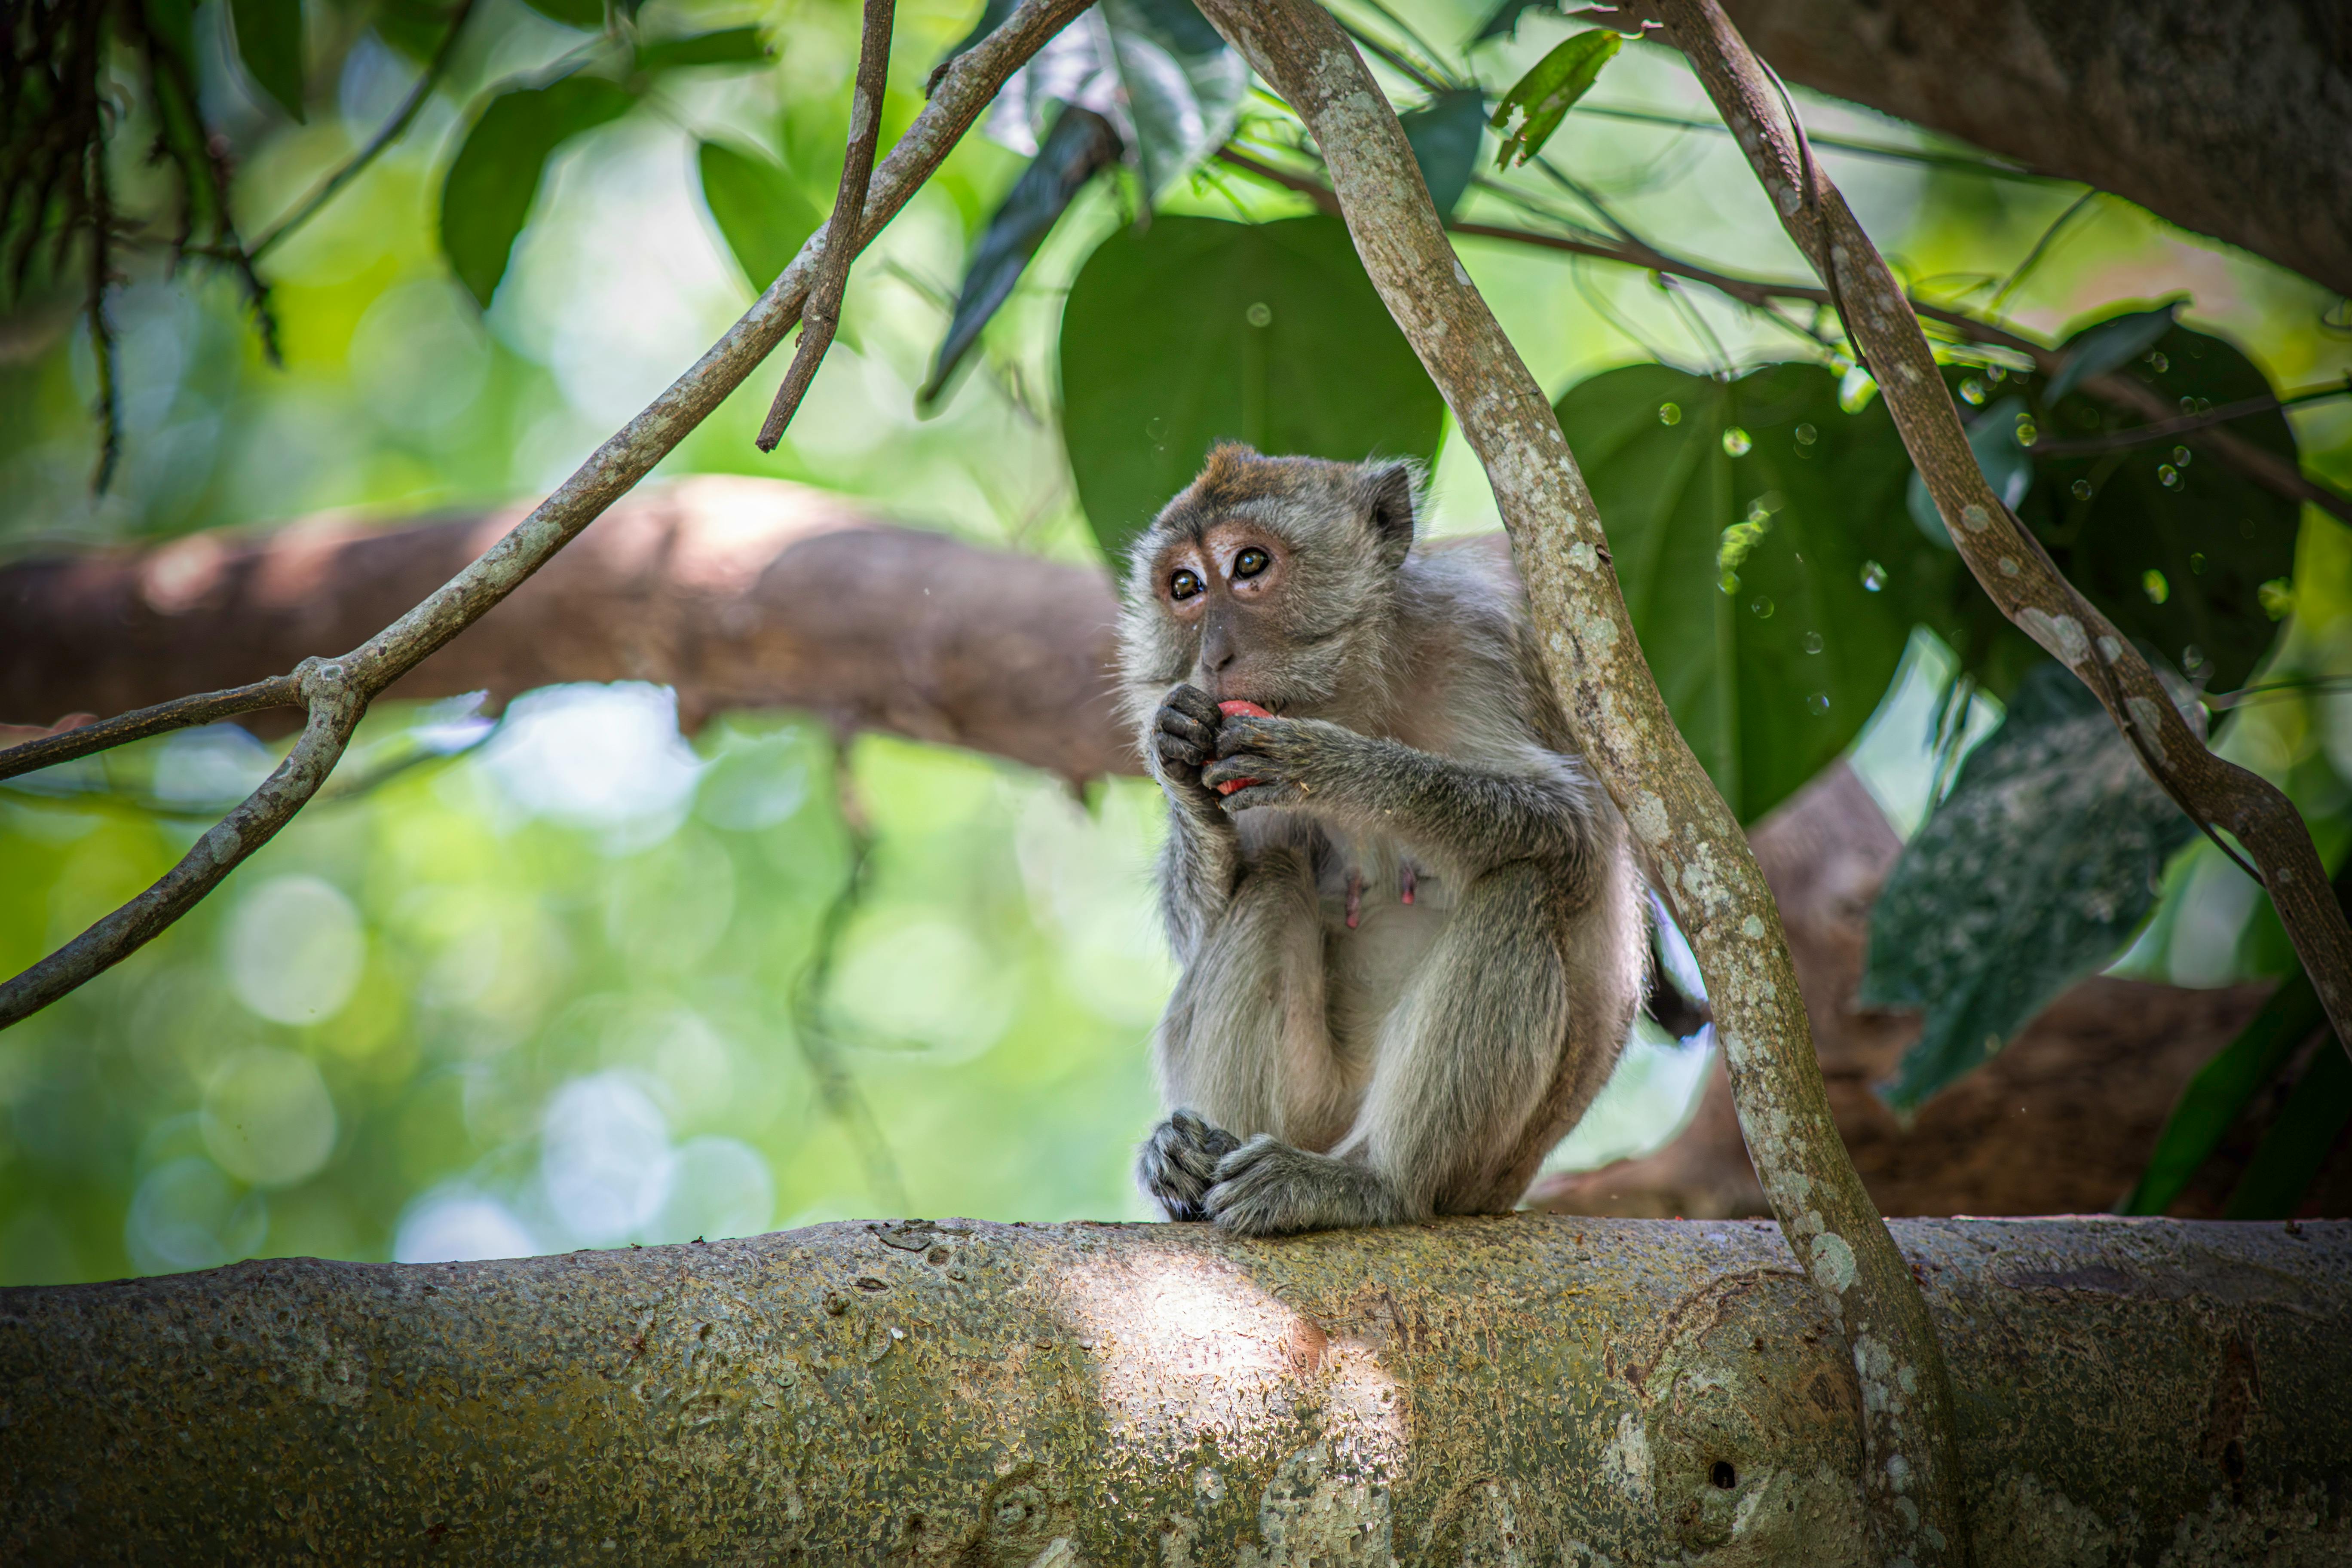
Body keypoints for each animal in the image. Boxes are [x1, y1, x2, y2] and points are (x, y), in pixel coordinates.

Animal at [1115, 444, 1637, 1241]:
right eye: (1184, 587)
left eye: (1249, 564)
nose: (1213, 654)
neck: (1351, 692)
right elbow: (1204, 918)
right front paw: (1176, 762)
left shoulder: (1478, 641)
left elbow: (1573, 830)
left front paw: (1330, 765)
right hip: (1313, 1109)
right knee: (1271, 878)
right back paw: (1198, 1163)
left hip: (1482, 1171)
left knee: (1521, 885)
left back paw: (1374, 1183)